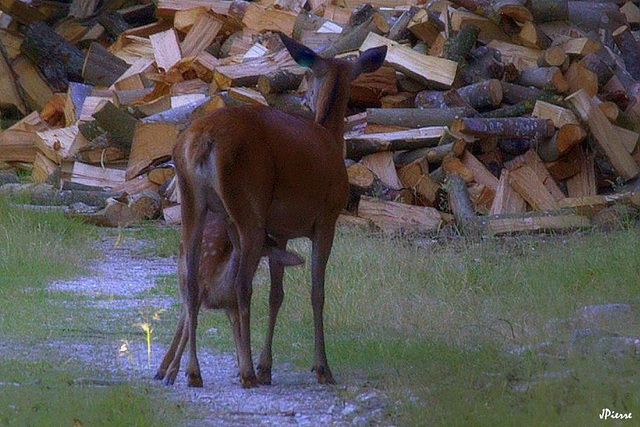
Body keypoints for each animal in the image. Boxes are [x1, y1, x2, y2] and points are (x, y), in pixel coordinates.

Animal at [156, 212, 304, 386]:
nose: (274, 243)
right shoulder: (198, 288)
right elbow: (189, 327)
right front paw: (173, 375)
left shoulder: (232, 303)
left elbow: (238, 329)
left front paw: (245, 371)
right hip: (183, 274)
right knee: (183, 314)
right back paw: (162, 370)